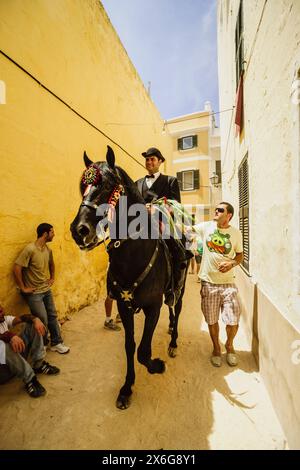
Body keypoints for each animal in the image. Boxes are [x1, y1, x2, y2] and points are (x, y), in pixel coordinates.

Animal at [71, 146, 188, 408]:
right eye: (82, 186)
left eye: (106, 185)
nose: (79, 230)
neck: (133, 255)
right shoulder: (124, 306)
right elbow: (130, 345)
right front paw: (126, 388)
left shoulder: (153, 306)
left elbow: (143, 351)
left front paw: (158, 365)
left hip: (180, 287)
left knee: (176, 308)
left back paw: (174, 342)